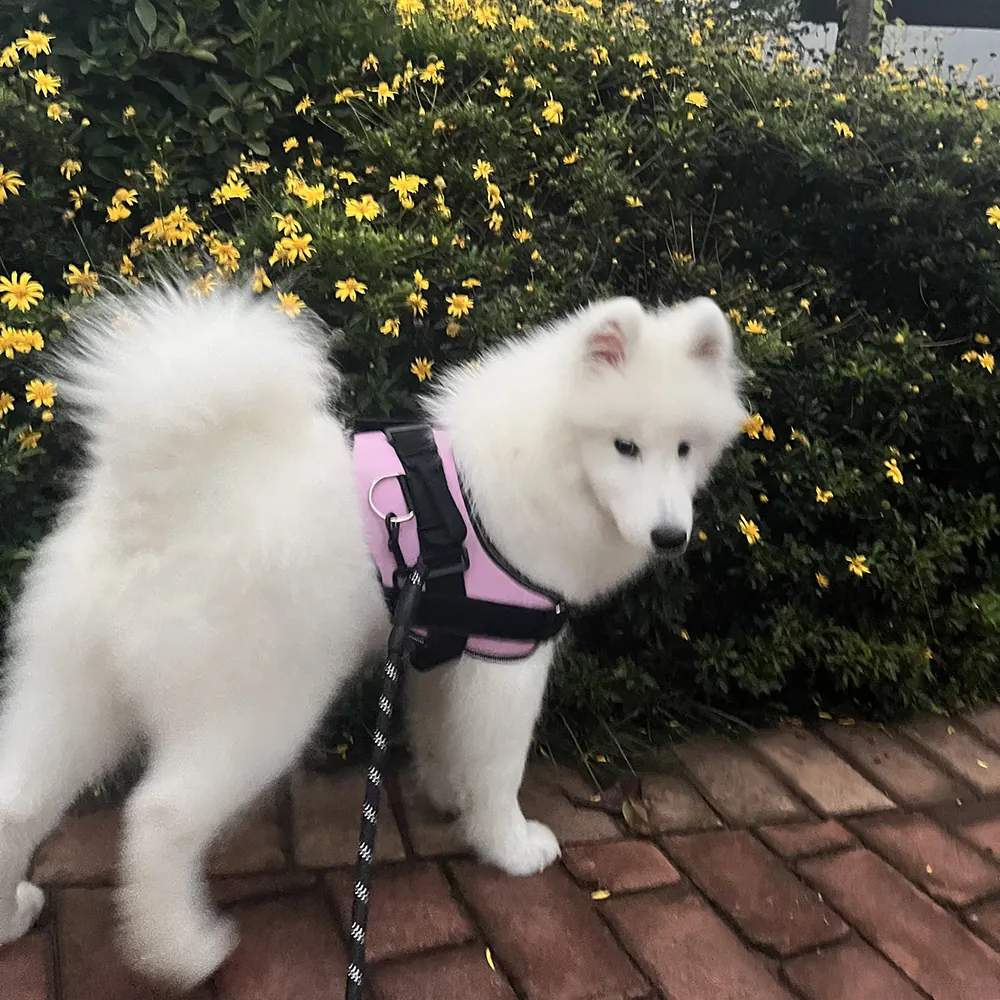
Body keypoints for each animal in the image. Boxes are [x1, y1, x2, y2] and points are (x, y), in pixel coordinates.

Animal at [0, 278, 744, 988]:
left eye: (685, 449)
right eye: (625, 446)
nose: (670, 536)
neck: (541, 461)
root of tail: (153, 506)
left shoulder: (442, 651)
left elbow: (443, 739)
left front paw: (449, 798)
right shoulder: (508, 658)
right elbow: (500, 767)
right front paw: (508, 846)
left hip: (75, 693)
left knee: (17, 799)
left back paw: (12, 916)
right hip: (257, 710)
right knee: (160, 814)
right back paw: (183, 952)